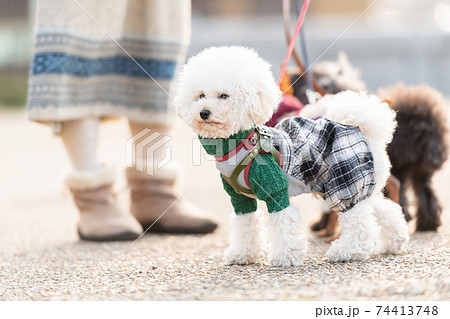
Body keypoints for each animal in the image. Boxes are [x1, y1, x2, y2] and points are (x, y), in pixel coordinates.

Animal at [174, 46, 410, 266]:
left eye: (224, 96)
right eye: (200, 95)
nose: (204, 112)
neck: (240, 142)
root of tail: (364, 129)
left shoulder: (275, 189)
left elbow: (283, 223)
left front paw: (285, 258)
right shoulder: (239, 198)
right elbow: (246, 224)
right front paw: (243, 255)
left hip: (345, 184)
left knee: (359, 222)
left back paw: (346, 252)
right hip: (364, 184)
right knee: (385, 209)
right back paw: (393, 243)